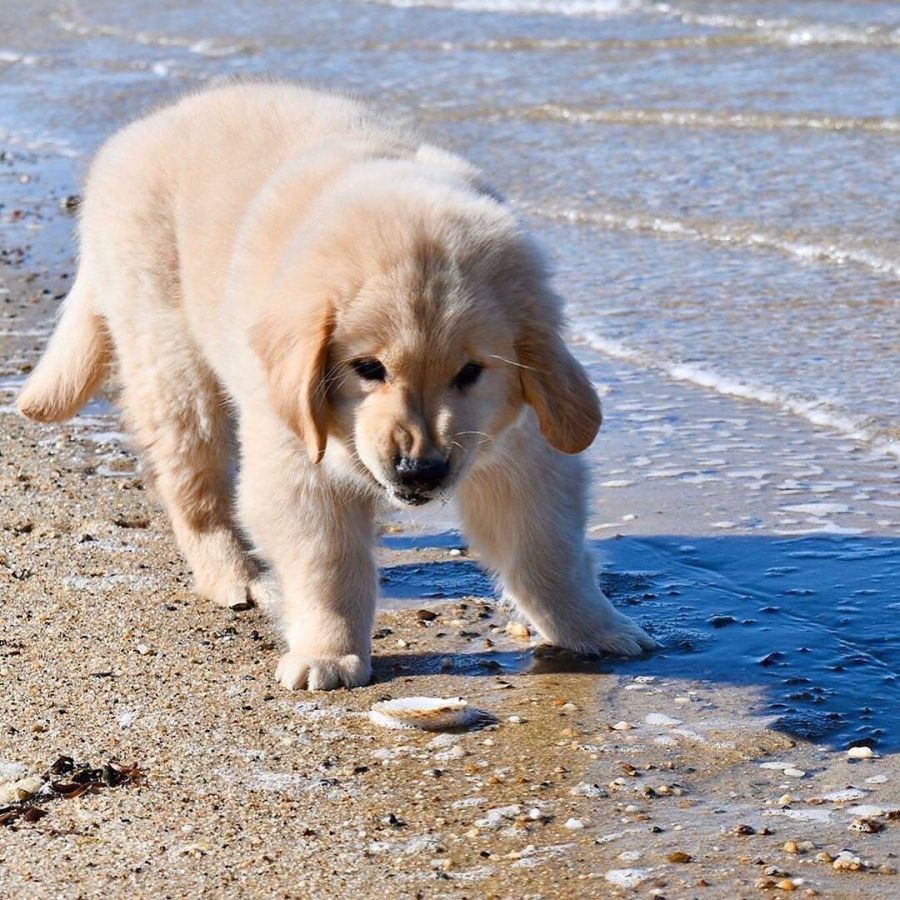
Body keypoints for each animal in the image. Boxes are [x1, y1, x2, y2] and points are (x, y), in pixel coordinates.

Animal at [19, 82, 652, 688]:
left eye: (470, 373)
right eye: (368, 369)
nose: (419, 471)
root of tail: (136, 134)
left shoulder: (522, 449)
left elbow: (546, 550)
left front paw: (593, 629)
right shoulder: (297, 460)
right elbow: (326, 564)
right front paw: (330, 652)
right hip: (174, 369)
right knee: (196, 492)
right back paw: (235, 577)